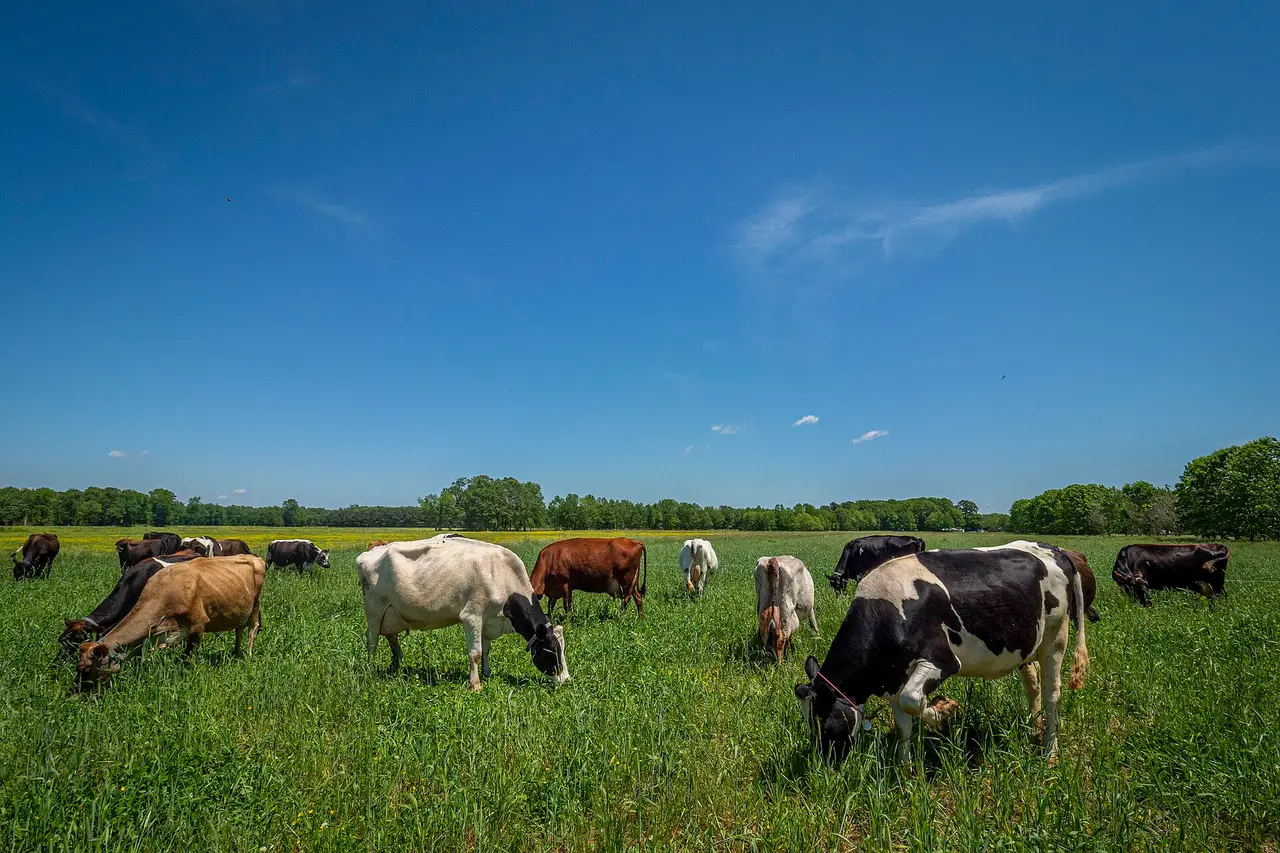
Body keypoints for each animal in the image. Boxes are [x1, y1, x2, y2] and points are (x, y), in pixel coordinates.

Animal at [75, 555, 265, 688]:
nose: (74, 696)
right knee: (239, 630)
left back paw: (248, 656)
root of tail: (254, 557)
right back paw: (236, 653)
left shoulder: (198, 625)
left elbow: (187, 658)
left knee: (252, 629)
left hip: (255, 605)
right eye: (78, 665)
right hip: (241, 610)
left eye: (86, 669)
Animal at [356, 534, 569, 690]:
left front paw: (487, 673)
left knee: (391, 638)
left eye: (563, 648)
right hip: (374, 609)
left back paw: (397, 665)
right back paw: (370, 669)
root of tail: (368, 553)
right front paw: (475, 685)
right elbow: (475, 652)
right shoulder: (472, 616)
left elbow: (486, 650)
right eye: (552, 650)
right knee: (372, 640)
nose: (566, 679)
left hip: (392, 614)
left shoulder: (487, 620)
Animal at [793, 544, 1089, 766]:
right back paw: (1034, 730)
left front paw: (943, 708)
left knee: (1053, 694)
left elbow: (912, 700)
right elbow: (902, 723)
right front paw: (906, 772)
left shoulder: (942, 661)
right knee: (1033, 684)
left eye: (827, 727)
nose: (825, 767)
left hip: (1055, 639)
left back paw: (1050, 752)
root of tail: (1055, 549)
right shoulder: (894, 675)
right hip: (1028, 646)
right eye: (808, 726)